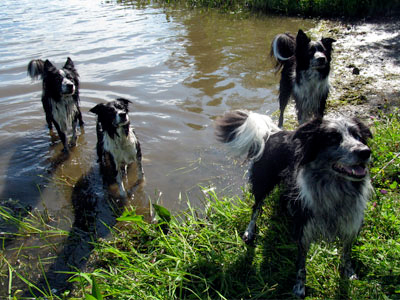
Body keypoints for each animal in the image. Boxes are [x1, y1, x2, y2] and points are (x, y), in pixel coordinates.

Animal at [214, 110, 374, 298]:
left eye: (358, 136)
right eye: (333, 138)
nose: (365, 152)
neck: (335, 188)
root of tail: (274, 132)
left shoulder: (351, 221)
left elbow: (346, 252)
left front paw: (349, 273)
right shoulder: (305, 228)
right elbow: (301, 264)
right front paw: (299, 287)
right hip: (263, 181)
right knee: (256, 208)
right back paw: (249, 231)